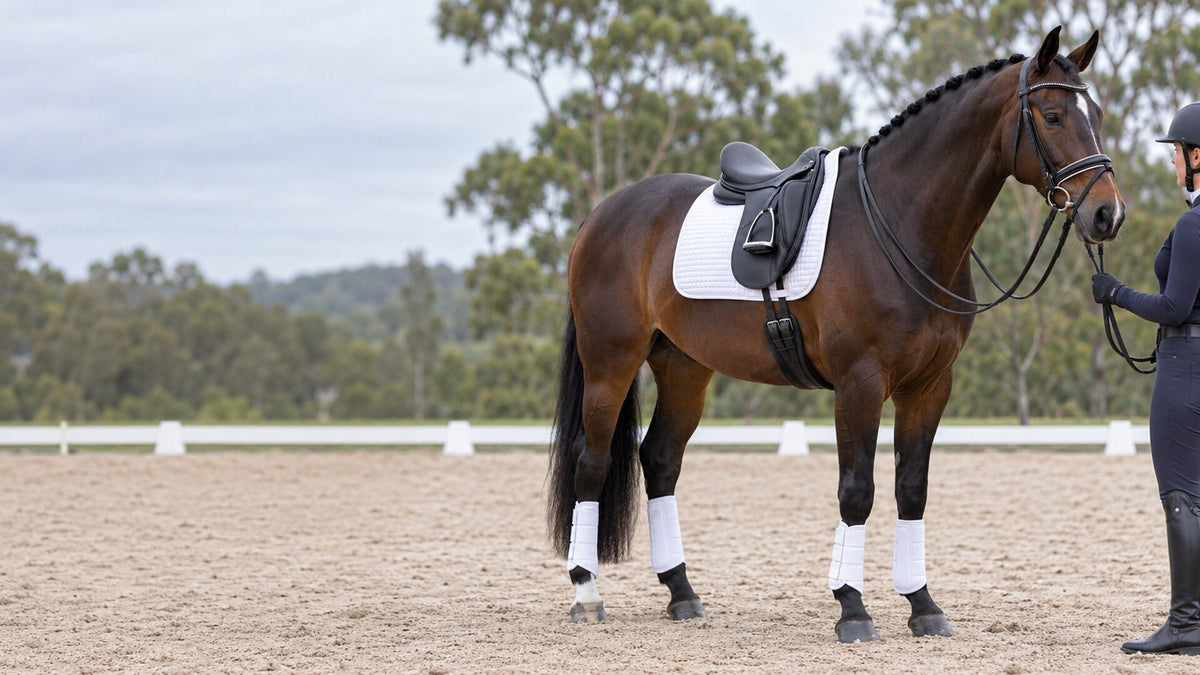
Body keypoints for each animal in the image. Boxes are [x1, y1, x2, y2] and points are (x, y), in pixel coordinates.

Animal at [546, 27, 1125, 642]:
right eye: (1054, 115)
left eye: (1097, 114)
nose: (1108, 214)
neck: (898, 222)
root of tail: (604, 213)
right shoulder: (859, 384)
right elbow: (857, 490)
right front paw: (852, 607)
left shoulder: (929, 386)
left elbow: (911, 489)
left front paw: (923, 605)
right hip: (610, 362)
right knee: (591, 462)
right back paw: (586, 593)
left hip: (683, 367)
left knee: (658, 461)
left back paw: (681, 592)